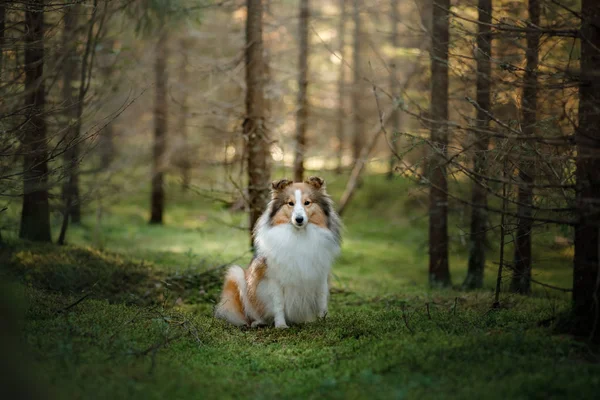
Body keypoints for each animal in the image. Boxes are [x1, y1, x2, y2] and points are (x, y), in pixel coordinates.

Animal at [214, 176, 342, 328]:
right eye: (290, 203)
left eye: (307, 203)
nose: (299, 219)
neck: (299, 235)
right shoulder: (274, 278)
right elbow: (278, 304)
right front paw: (281, 325)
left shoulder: (321, 274)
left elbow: (322, 301)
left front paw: (323, 322)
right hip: (236, 275)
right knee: (250, 314)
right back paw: (257, 322)